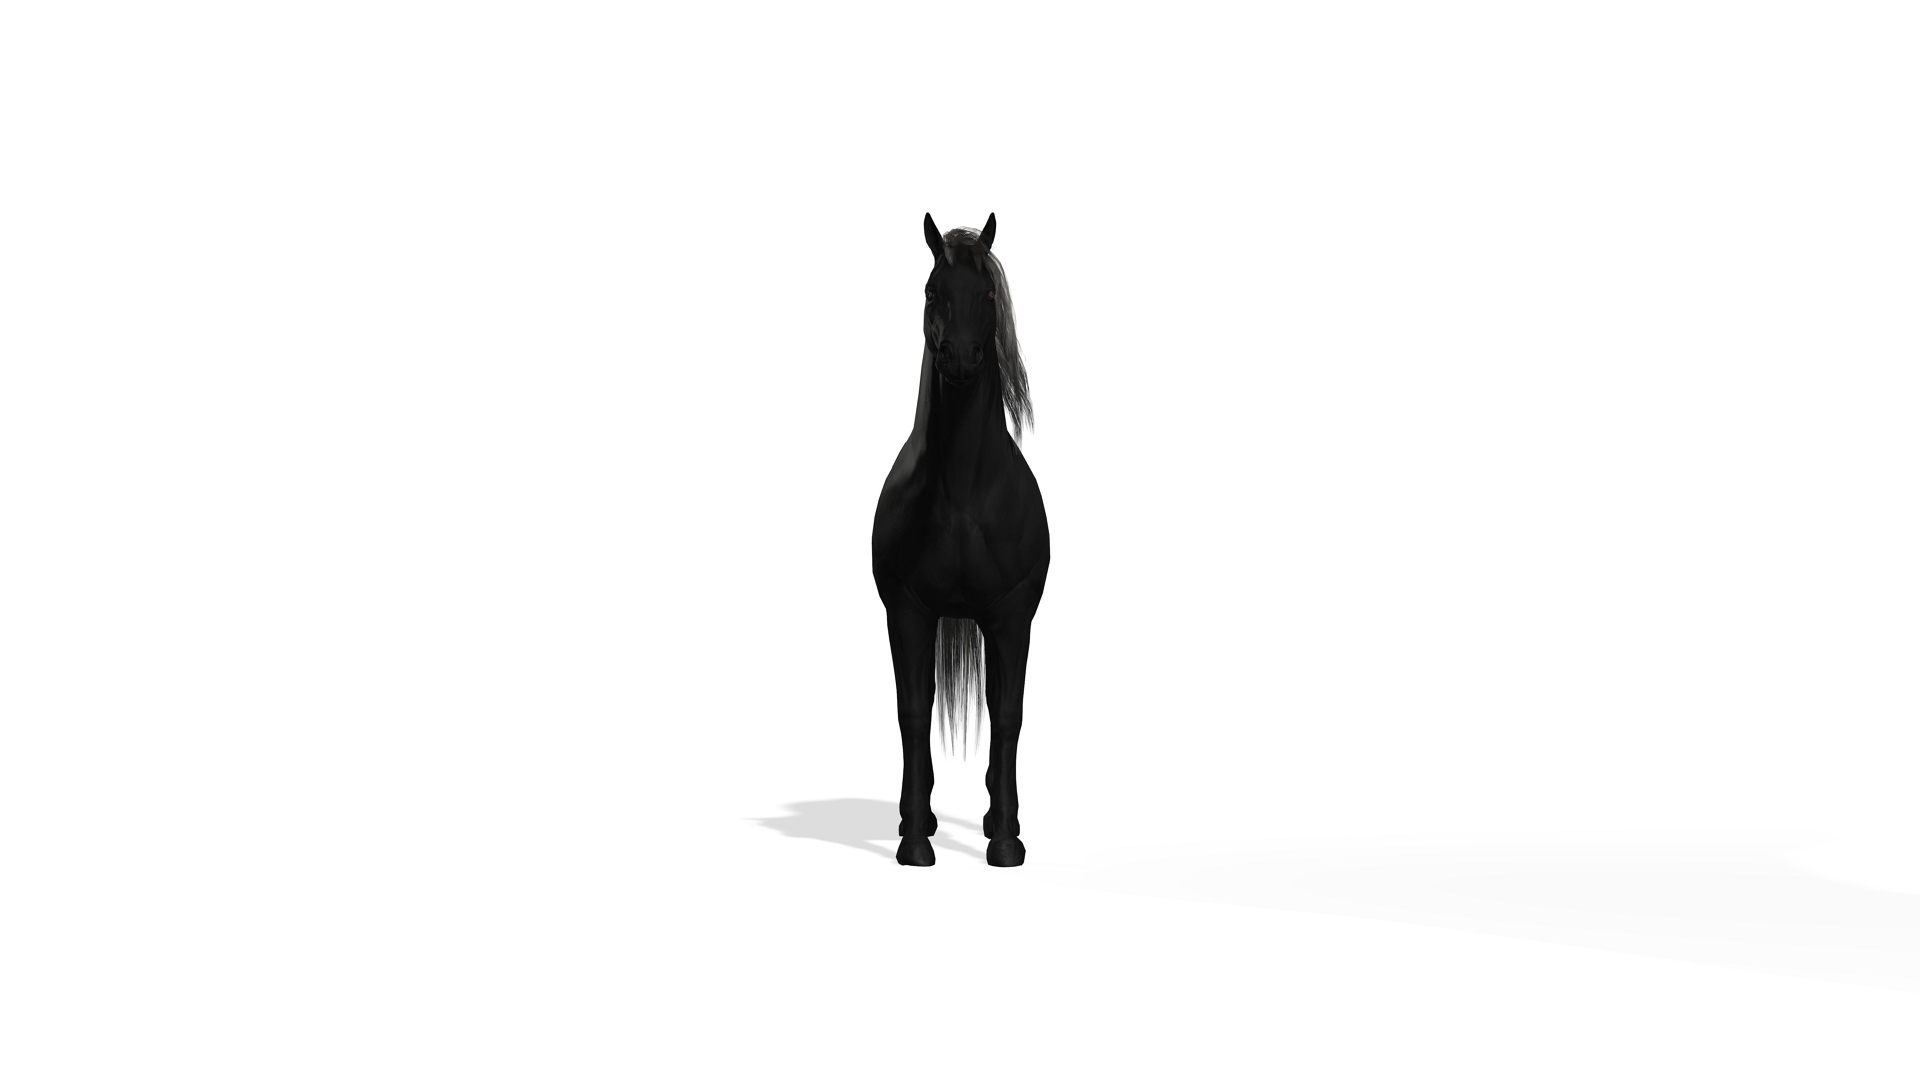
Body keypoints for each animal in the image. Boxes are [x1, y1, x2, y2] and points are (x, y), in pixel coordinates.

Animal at [872, 213, 1050, 868]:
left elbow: (1008, 714)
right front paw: (915, 842)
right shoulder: (907, 611)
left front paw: (1005, 841)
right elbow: (912, 713)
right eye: (932, 292)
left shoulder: (1011, 616)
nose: (961, 359)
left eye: (990, 295)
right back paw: (914, 818)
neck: (962, 495)